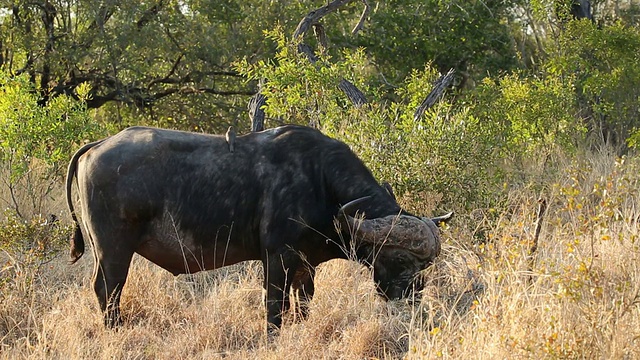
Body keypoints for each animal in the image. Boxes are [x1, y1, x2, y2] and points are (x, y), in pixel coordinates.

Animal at [67, 125, 452, 330]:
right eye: (400, 260)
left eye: (427, 265)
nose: (413, 299)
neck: (320, 182)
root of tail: (97, 146)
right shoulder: (277, 259)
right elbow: (275, 309)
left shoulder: (305, 265)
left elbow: (302, 305)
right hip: (113, 250)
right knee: (107, 290)